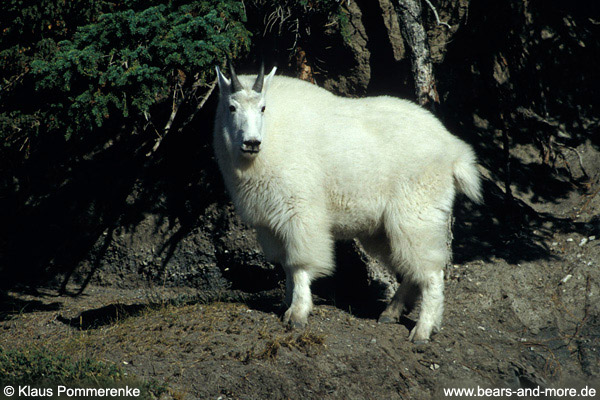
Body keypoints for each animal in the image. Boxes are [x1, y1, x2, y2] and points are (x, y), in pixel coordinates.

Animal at [213, 64, 480, 342]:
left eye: (263, 107)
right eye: (231, 107)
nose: (252, 143)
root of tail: (454, 151)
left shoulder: (300, 211)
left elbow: (299, 265)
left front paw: (298, 313)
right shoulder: (269, 223)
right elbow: (286, 265)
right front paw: (287, 304)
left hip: (417, 214)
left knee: (431, 272)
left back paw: (423, 329)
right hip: (385, 229)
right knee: (410, 269)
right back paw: (391, 312)